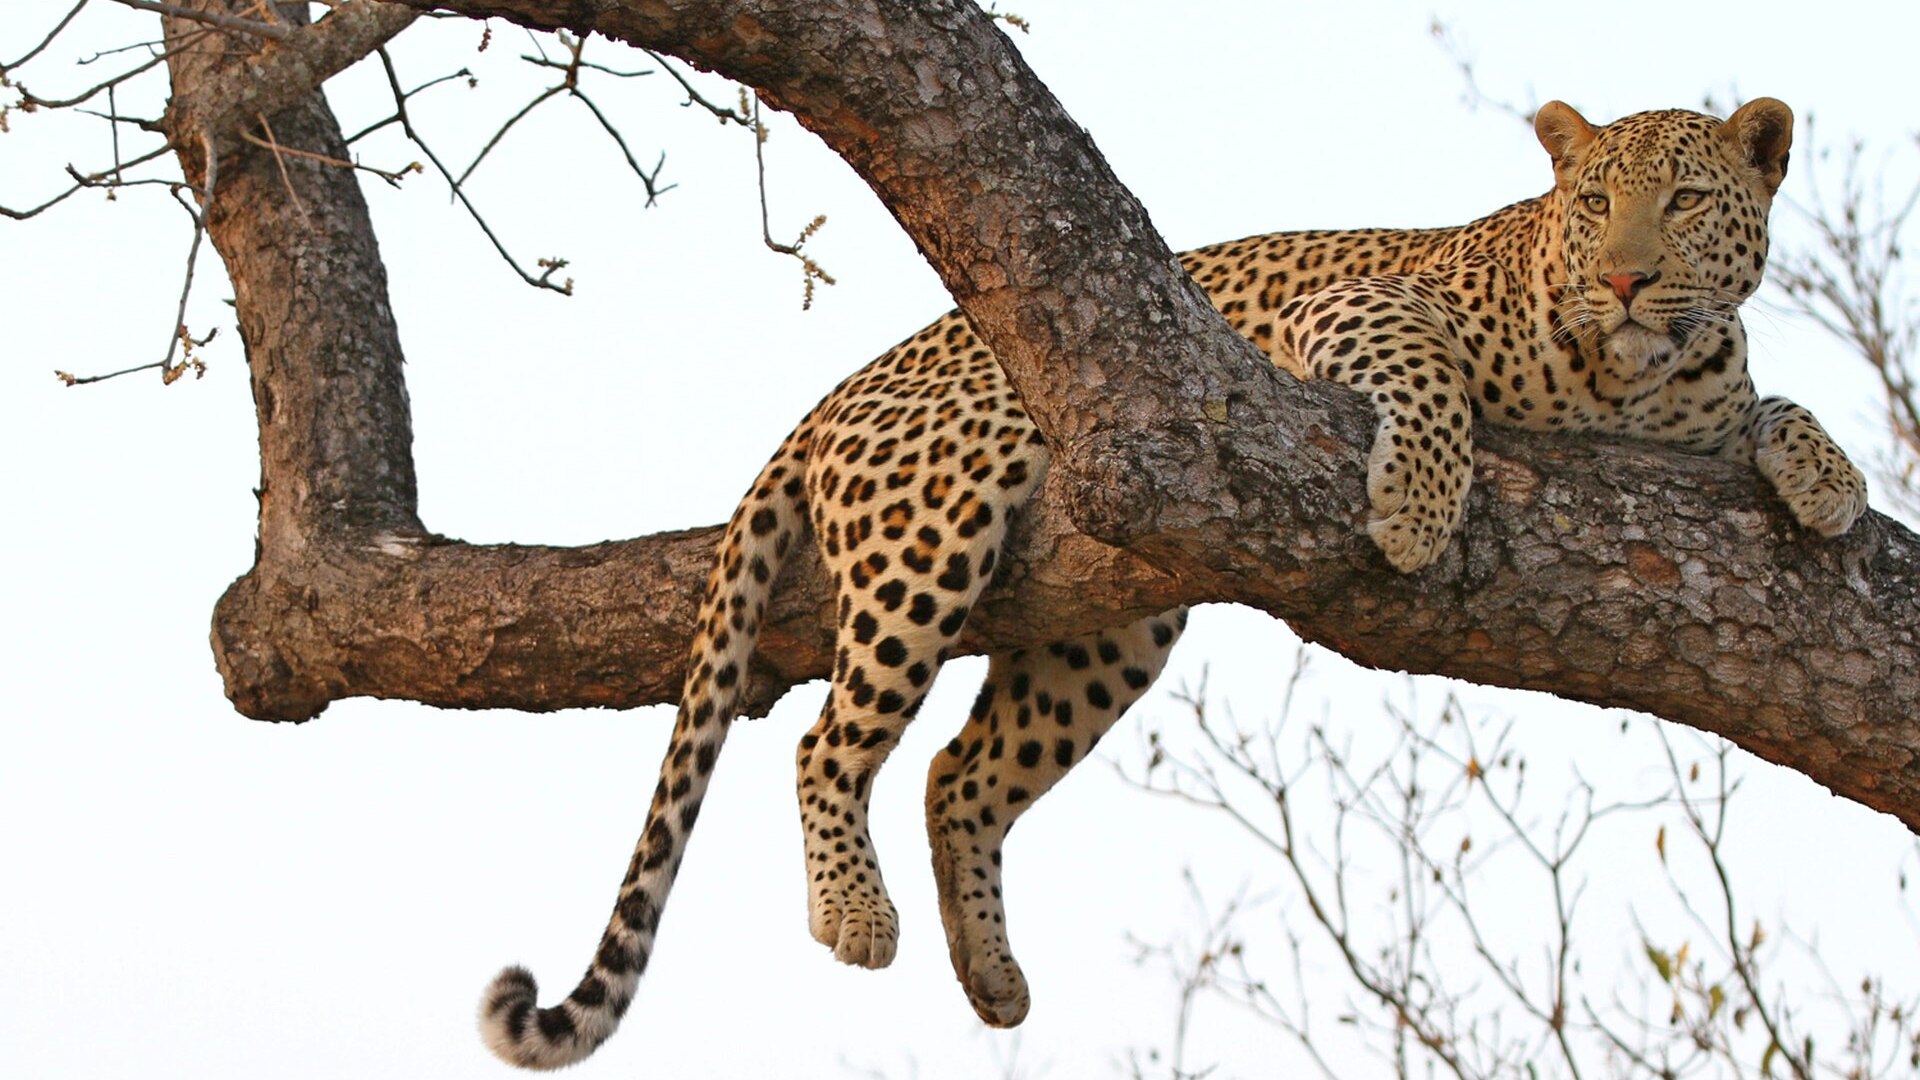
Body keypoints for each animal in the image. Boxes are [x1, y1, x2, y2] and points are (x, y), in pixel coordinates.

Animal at [477, 97, 1867, 1069]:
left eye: (1683, 200)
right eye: (1591, 207)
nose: (1625, 277)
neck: (1630, 382)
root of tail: (834, 393)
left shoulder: (1694, 428)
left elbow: (1774, 406)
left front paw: (1829, 476)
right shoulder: (1357, 308)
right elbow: (1429, 379)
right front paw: (1419, 508)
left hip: (1113, 627)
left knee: (957, 775)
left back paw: (992, 977)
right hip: (938, 520)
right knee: (830, 743)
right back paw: (858, 917)